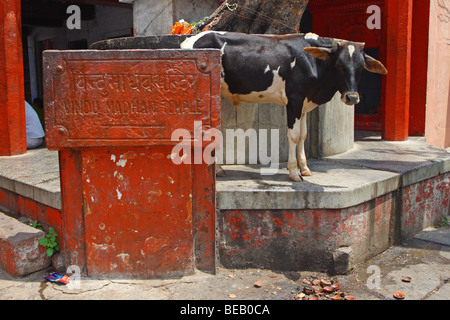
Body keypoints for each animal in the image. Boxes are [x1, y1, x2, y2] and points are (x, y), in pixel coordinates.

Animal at [179, 32, 386, 182]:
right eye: (339, 64)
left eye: (361, 67)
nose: (352, 97)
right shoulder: (294, 99)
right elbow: (293, 135)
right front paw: (294, 172)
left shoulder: (304, 103)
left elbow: (303, 134)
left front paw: (305, 168)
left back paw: (218, 169)